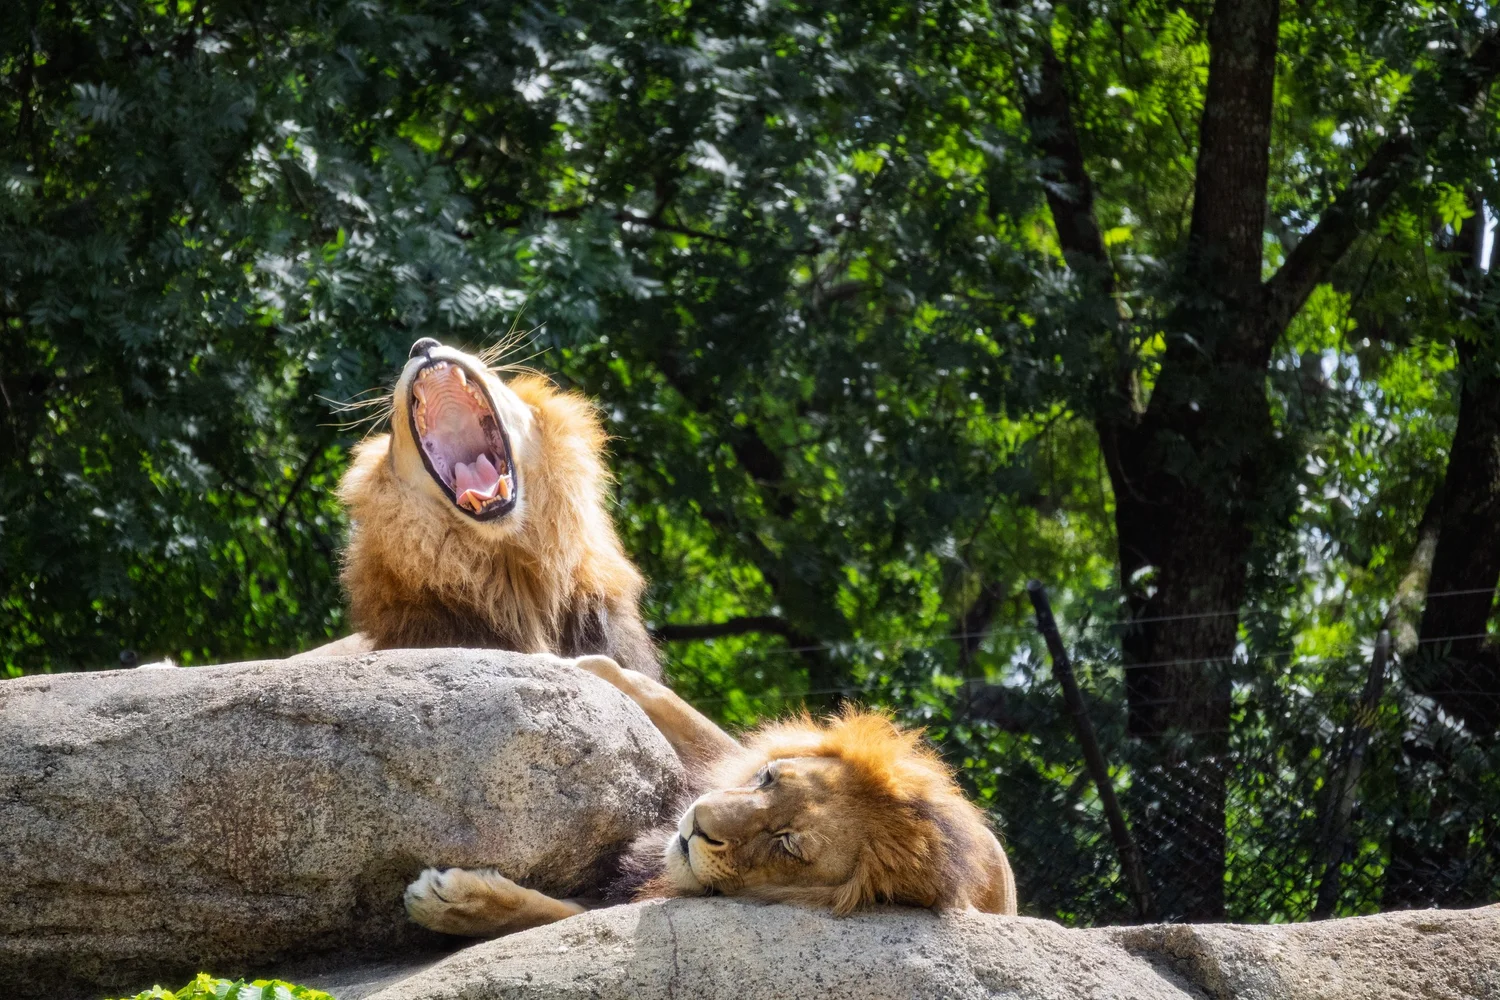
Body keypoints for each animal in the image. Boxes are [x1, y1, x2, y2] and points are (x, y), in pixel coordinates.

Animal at [403, 654, 1018, 936]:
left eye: (786, 844)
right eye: (767, 778)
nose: (696, 823)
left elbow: (549, 915)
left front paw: (456, 903)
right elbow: (682, 712)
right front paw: (578, 665)